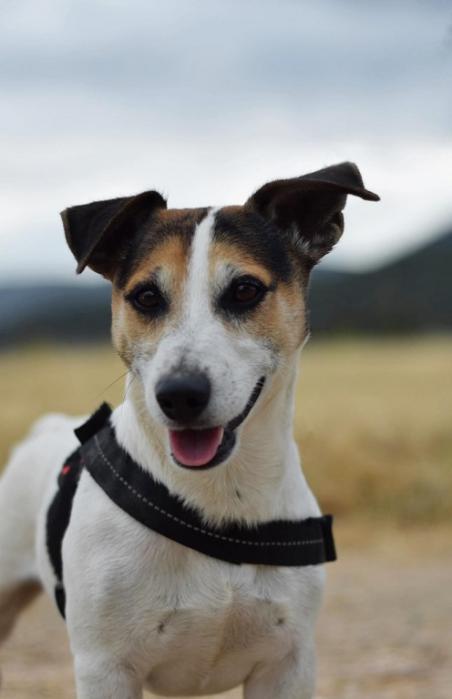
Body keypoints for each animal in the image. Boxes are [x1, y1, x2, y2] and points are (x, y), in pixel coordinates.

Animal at [0, 164, 378, 699]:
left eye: (245, 290)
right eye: (146, 297)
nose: (179, 395)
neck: (217, 500)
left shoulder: (287, 664)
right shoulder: (105, 668)